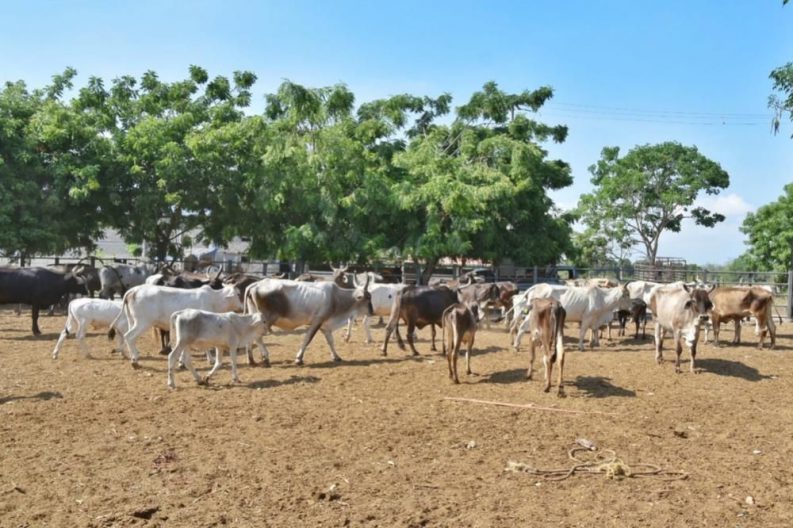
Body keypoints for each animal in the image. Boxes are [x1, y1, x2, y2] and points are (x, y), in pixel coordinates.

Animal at [111, 284, 243, 367]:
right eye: (237, 294)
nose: (241, 308)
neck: (215, 300)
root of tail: (133, 291)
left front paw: (181, 361)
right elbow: (206, 346)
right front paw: (210, 360)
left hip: (132, 321)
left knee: (128, 337)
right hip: (143, 322)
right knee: (129, 336)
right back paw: (134, 360)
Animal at [244, 275, 373, 365]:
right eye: (368, 298)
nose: (372, 312)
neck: (336, 297)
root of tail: (255, 285)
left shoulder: (324, 325)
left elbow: (330, 341)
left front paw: (336, 357)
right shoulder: (317, 321)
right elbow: (308, 339)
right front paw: (298, 359)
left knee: (251, 336)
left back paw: (251, 360)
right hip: (267, 319)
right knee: (258, 337)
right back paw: (265, 357)